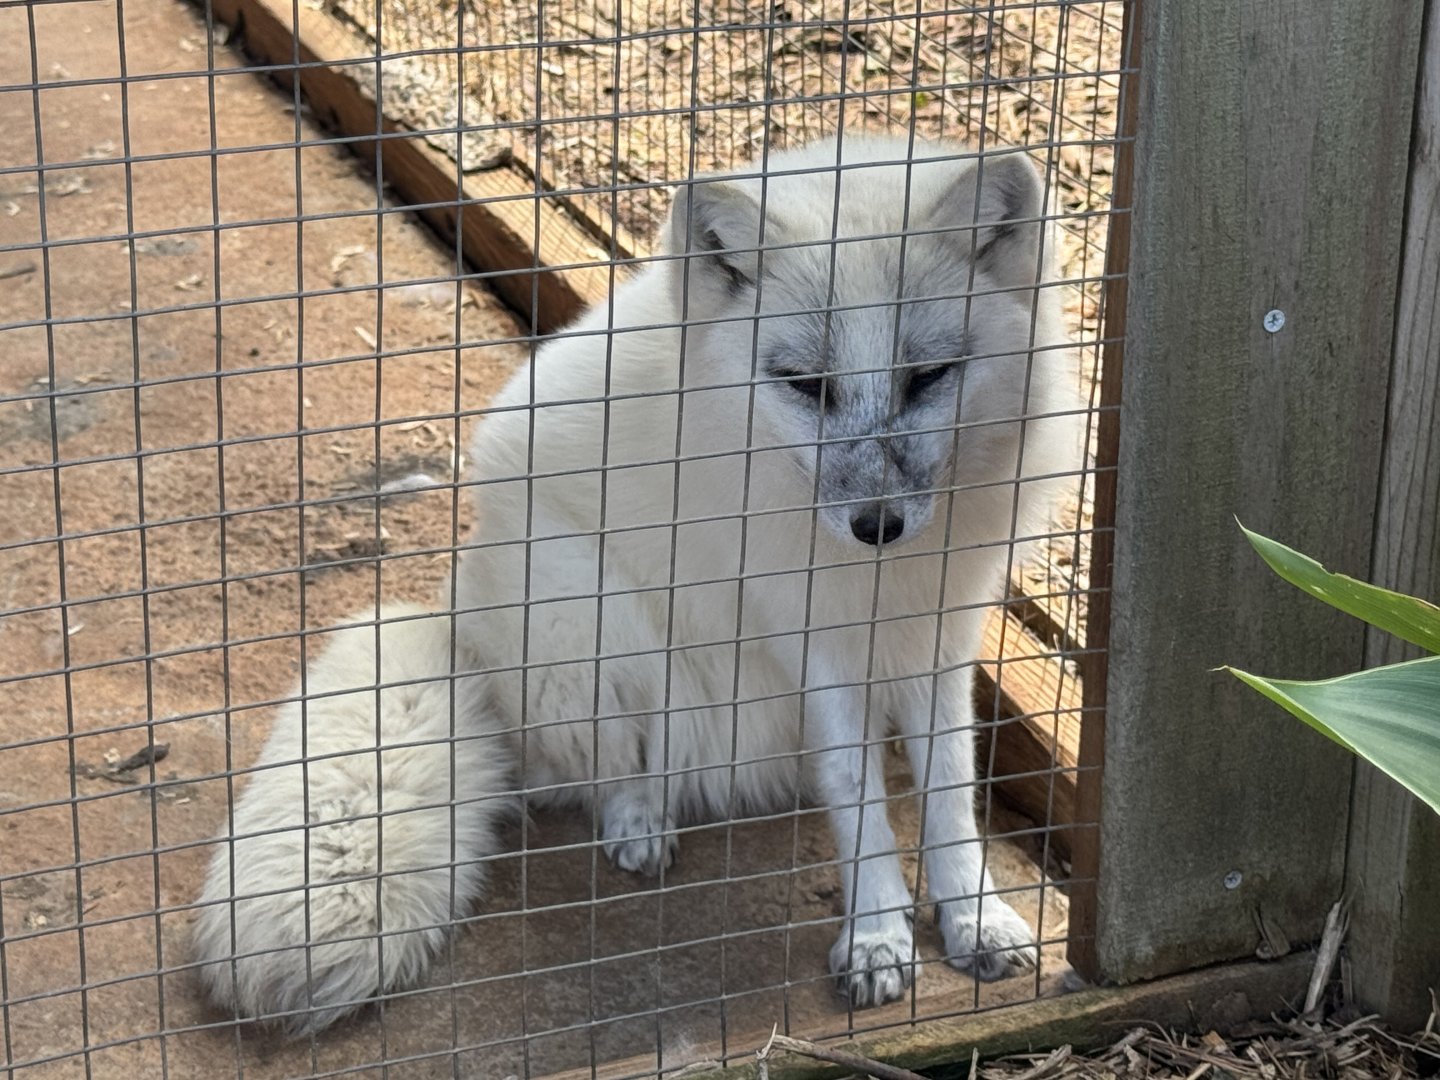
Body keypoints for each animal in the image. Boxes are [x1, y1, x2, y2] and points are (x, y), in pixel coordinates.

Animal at [191, 134, 1084, 1035]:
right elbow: (857, 799)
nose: (877, 525)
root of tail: (457, 615)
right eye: (805, 383)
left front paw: (974, 917)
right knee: (612, 765)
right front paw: (875, 936)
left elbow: (952, 791)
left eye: (929, 376)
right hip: (594, 620)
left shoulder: (939, 629)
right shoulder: (811, 638)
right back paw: (640, 823)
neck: (880, 581)